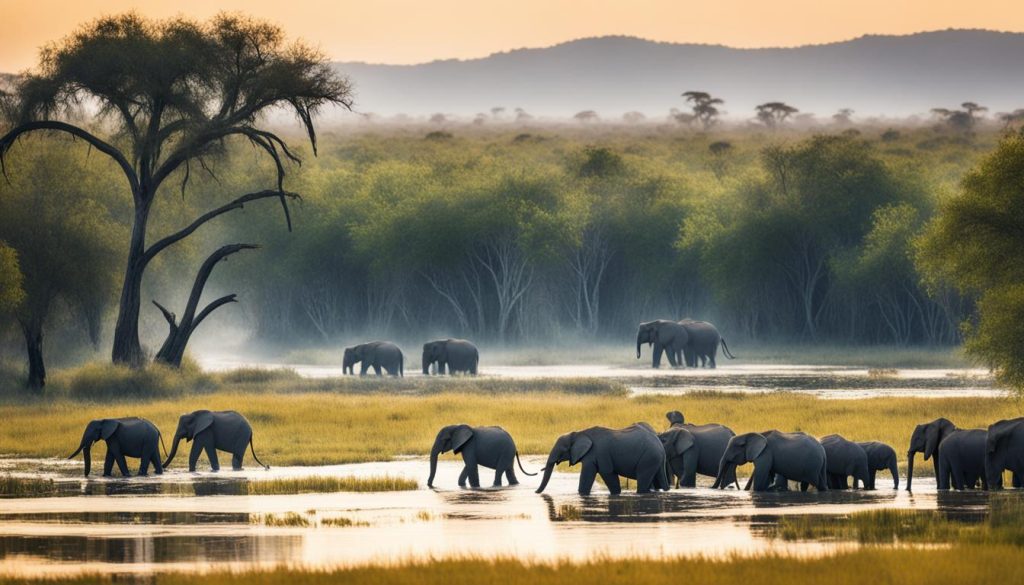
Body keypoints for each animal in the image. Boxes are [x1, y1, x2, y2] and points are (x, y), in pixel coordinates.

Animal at [536, 424, 671, 495]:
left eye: (562, 449)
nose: (536, 493)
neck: (579, 433)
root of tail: (660, 445)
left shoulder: (597, 453)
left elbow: (605, 473)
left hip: (648, 458)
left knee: (643, 481)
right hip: (655, 459)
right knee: (660, 479)